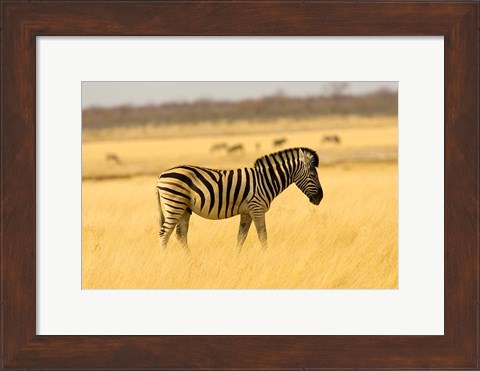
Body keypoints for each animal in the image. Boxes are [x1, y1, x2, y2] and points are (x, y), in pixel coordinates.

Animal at [157, 147, 322, 250]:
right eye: (313, 175)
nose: (320, 197)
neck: (266, 180)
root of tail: (161, 174)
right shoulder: (257, 208)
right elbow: (263, 236)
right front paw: (266, 256)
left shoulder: (247, 212)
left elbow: (241, 237)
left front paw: (237, 258)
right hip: (175, 204)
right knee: (164, 233)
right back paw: (164, 260)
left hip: (184, 208)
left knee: (181, 235)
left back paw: (190, 260)